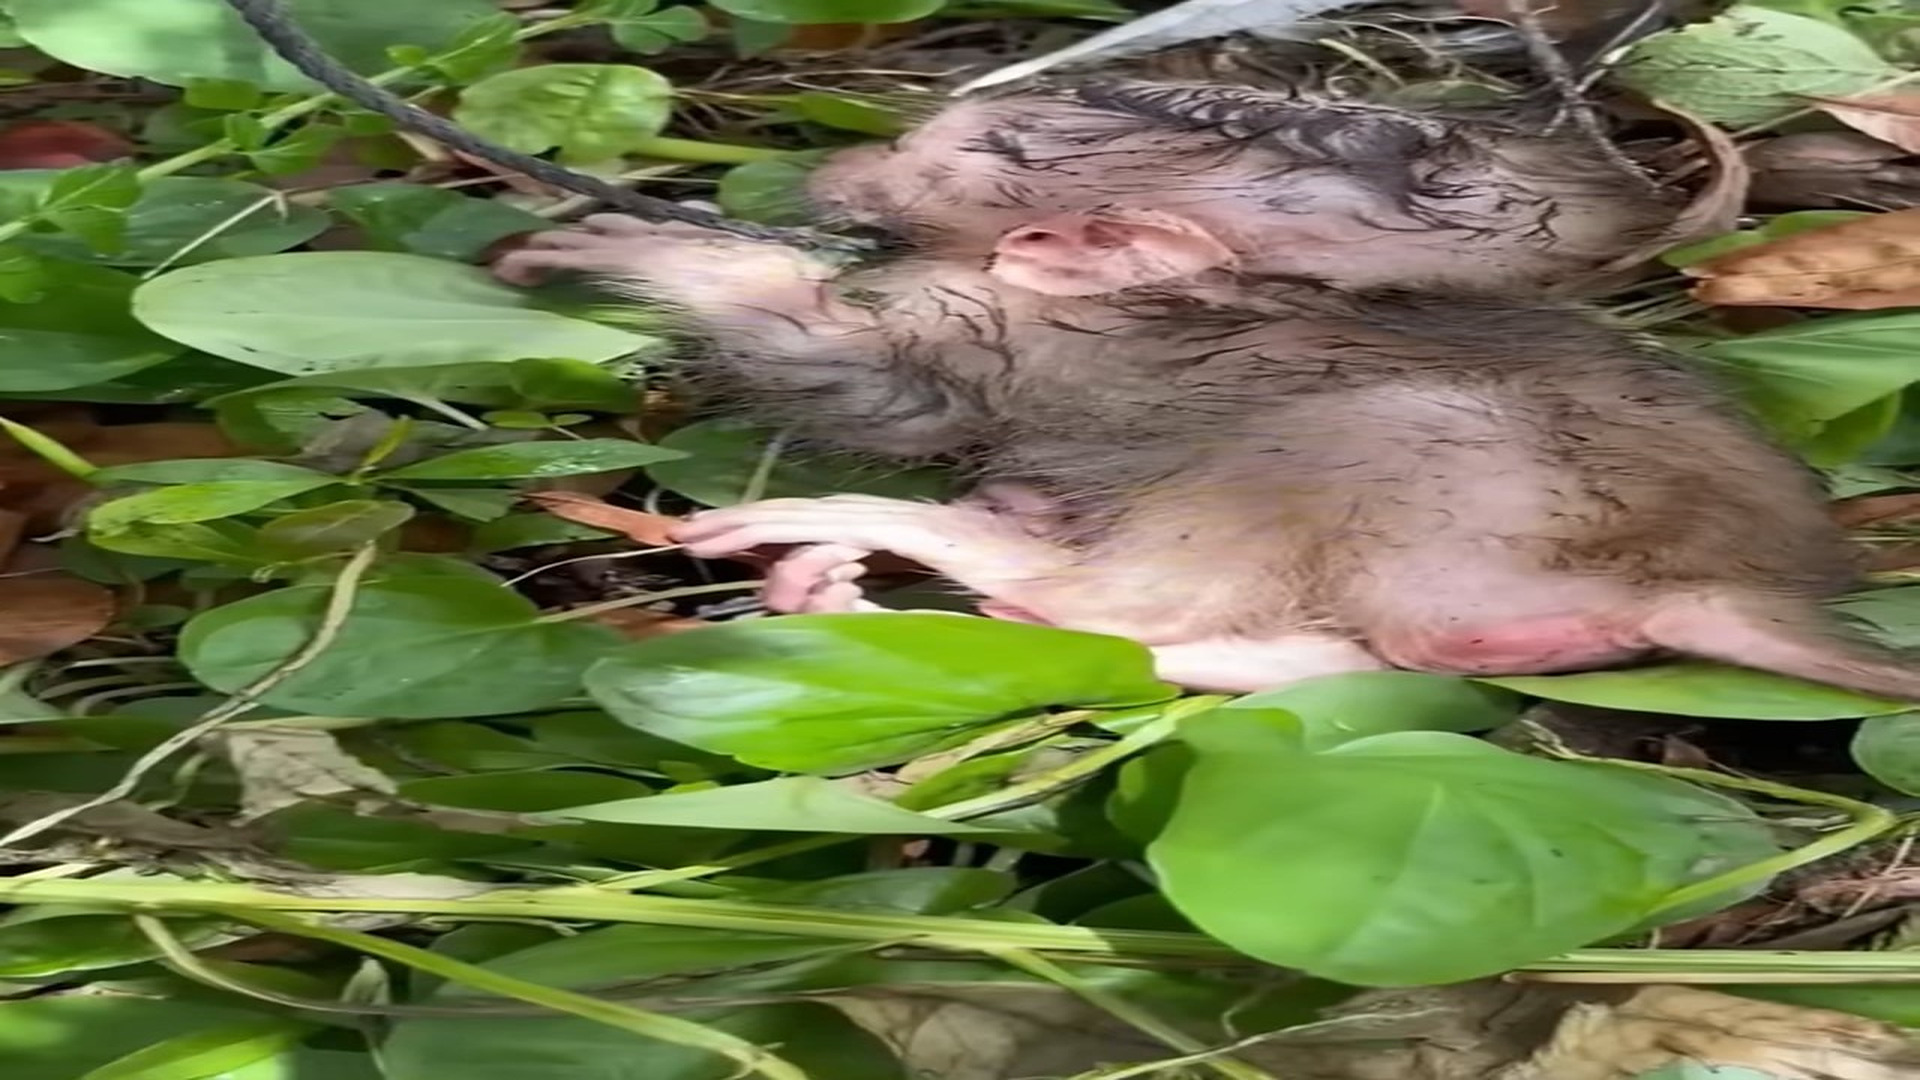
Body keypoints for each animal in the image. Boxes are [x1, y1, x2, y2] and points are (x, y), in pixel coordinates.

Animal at [488, 79, 1920, 700]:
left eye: (967, 148)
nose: (836, 169)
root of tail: (1704, 589)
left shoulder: (993, 339)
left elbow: (836, 358)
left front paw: (619, 247)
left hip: (1393, 452)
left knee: (1122, 603)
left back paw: (891, 547)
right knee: (1350, 661)